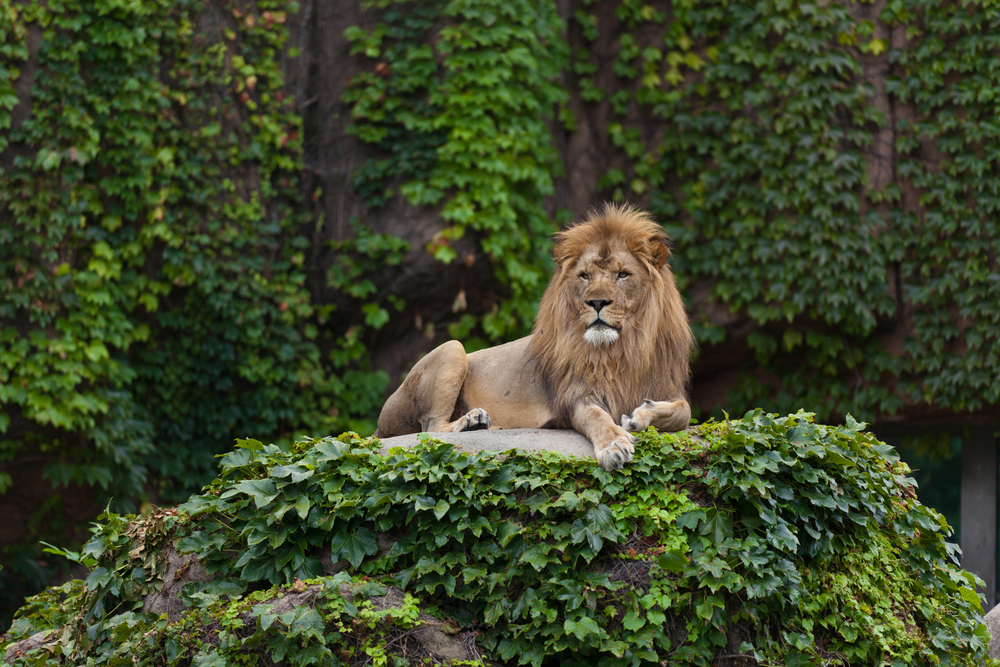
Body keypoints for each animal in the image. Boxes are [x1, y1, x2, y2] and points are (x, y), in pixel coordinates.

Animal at [376, 204, 696, 470]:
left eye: (623, 274)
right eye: (584, 276)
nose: (596, 302)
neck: (621, 349)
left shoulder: (666, 385)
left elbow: (684, 410)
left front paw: (639, 417)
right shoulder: (574, 396)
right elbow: (597, 417)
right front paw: (614, 445)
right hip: (451, 348)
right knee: (431, 428)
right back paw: (472, 422)